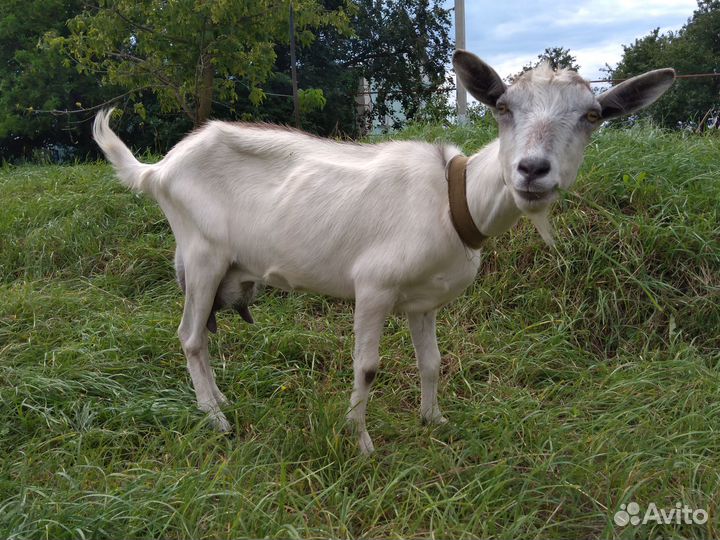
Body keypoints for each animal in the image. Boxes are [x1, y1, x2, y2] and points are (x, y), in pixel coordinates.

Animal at [93, 50, 674, 454]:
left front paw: (435, 421)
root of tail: (158, 170)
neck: (455, 199)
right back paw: (216, 419)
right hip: (202, 254)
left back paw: (220, 401)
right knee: (190, 337)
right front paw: (360, 440)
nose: (532, 170)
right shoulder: (373, 288)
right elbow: (367, 366)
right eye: (504, 108)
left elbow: (432, 362)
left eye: (593, 116)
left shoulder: (423, 300)